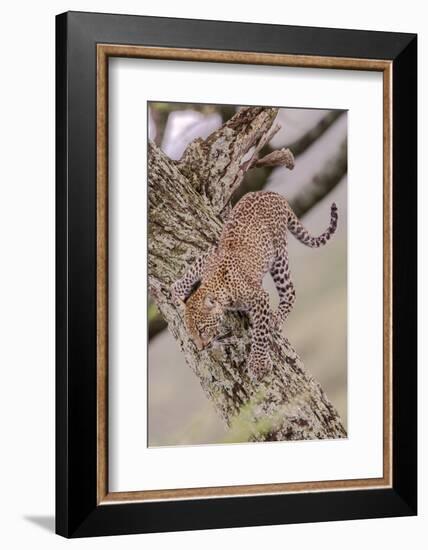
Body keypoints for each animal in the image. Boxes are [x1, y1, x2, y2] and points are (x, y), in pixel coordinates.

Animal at [171, 191, 338, 380]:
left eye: (202, 329)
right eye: (191, 334)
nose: (201, 348)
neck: (218, 287)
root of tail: (273, 194)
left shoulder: (259, 297)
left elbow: (260, 332)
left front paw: (258, 364)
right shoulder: (209, 256)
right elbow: (192, 271)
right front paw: (177, 293)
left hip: (278, 255)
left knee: (290, 291)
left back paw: (276, 319)